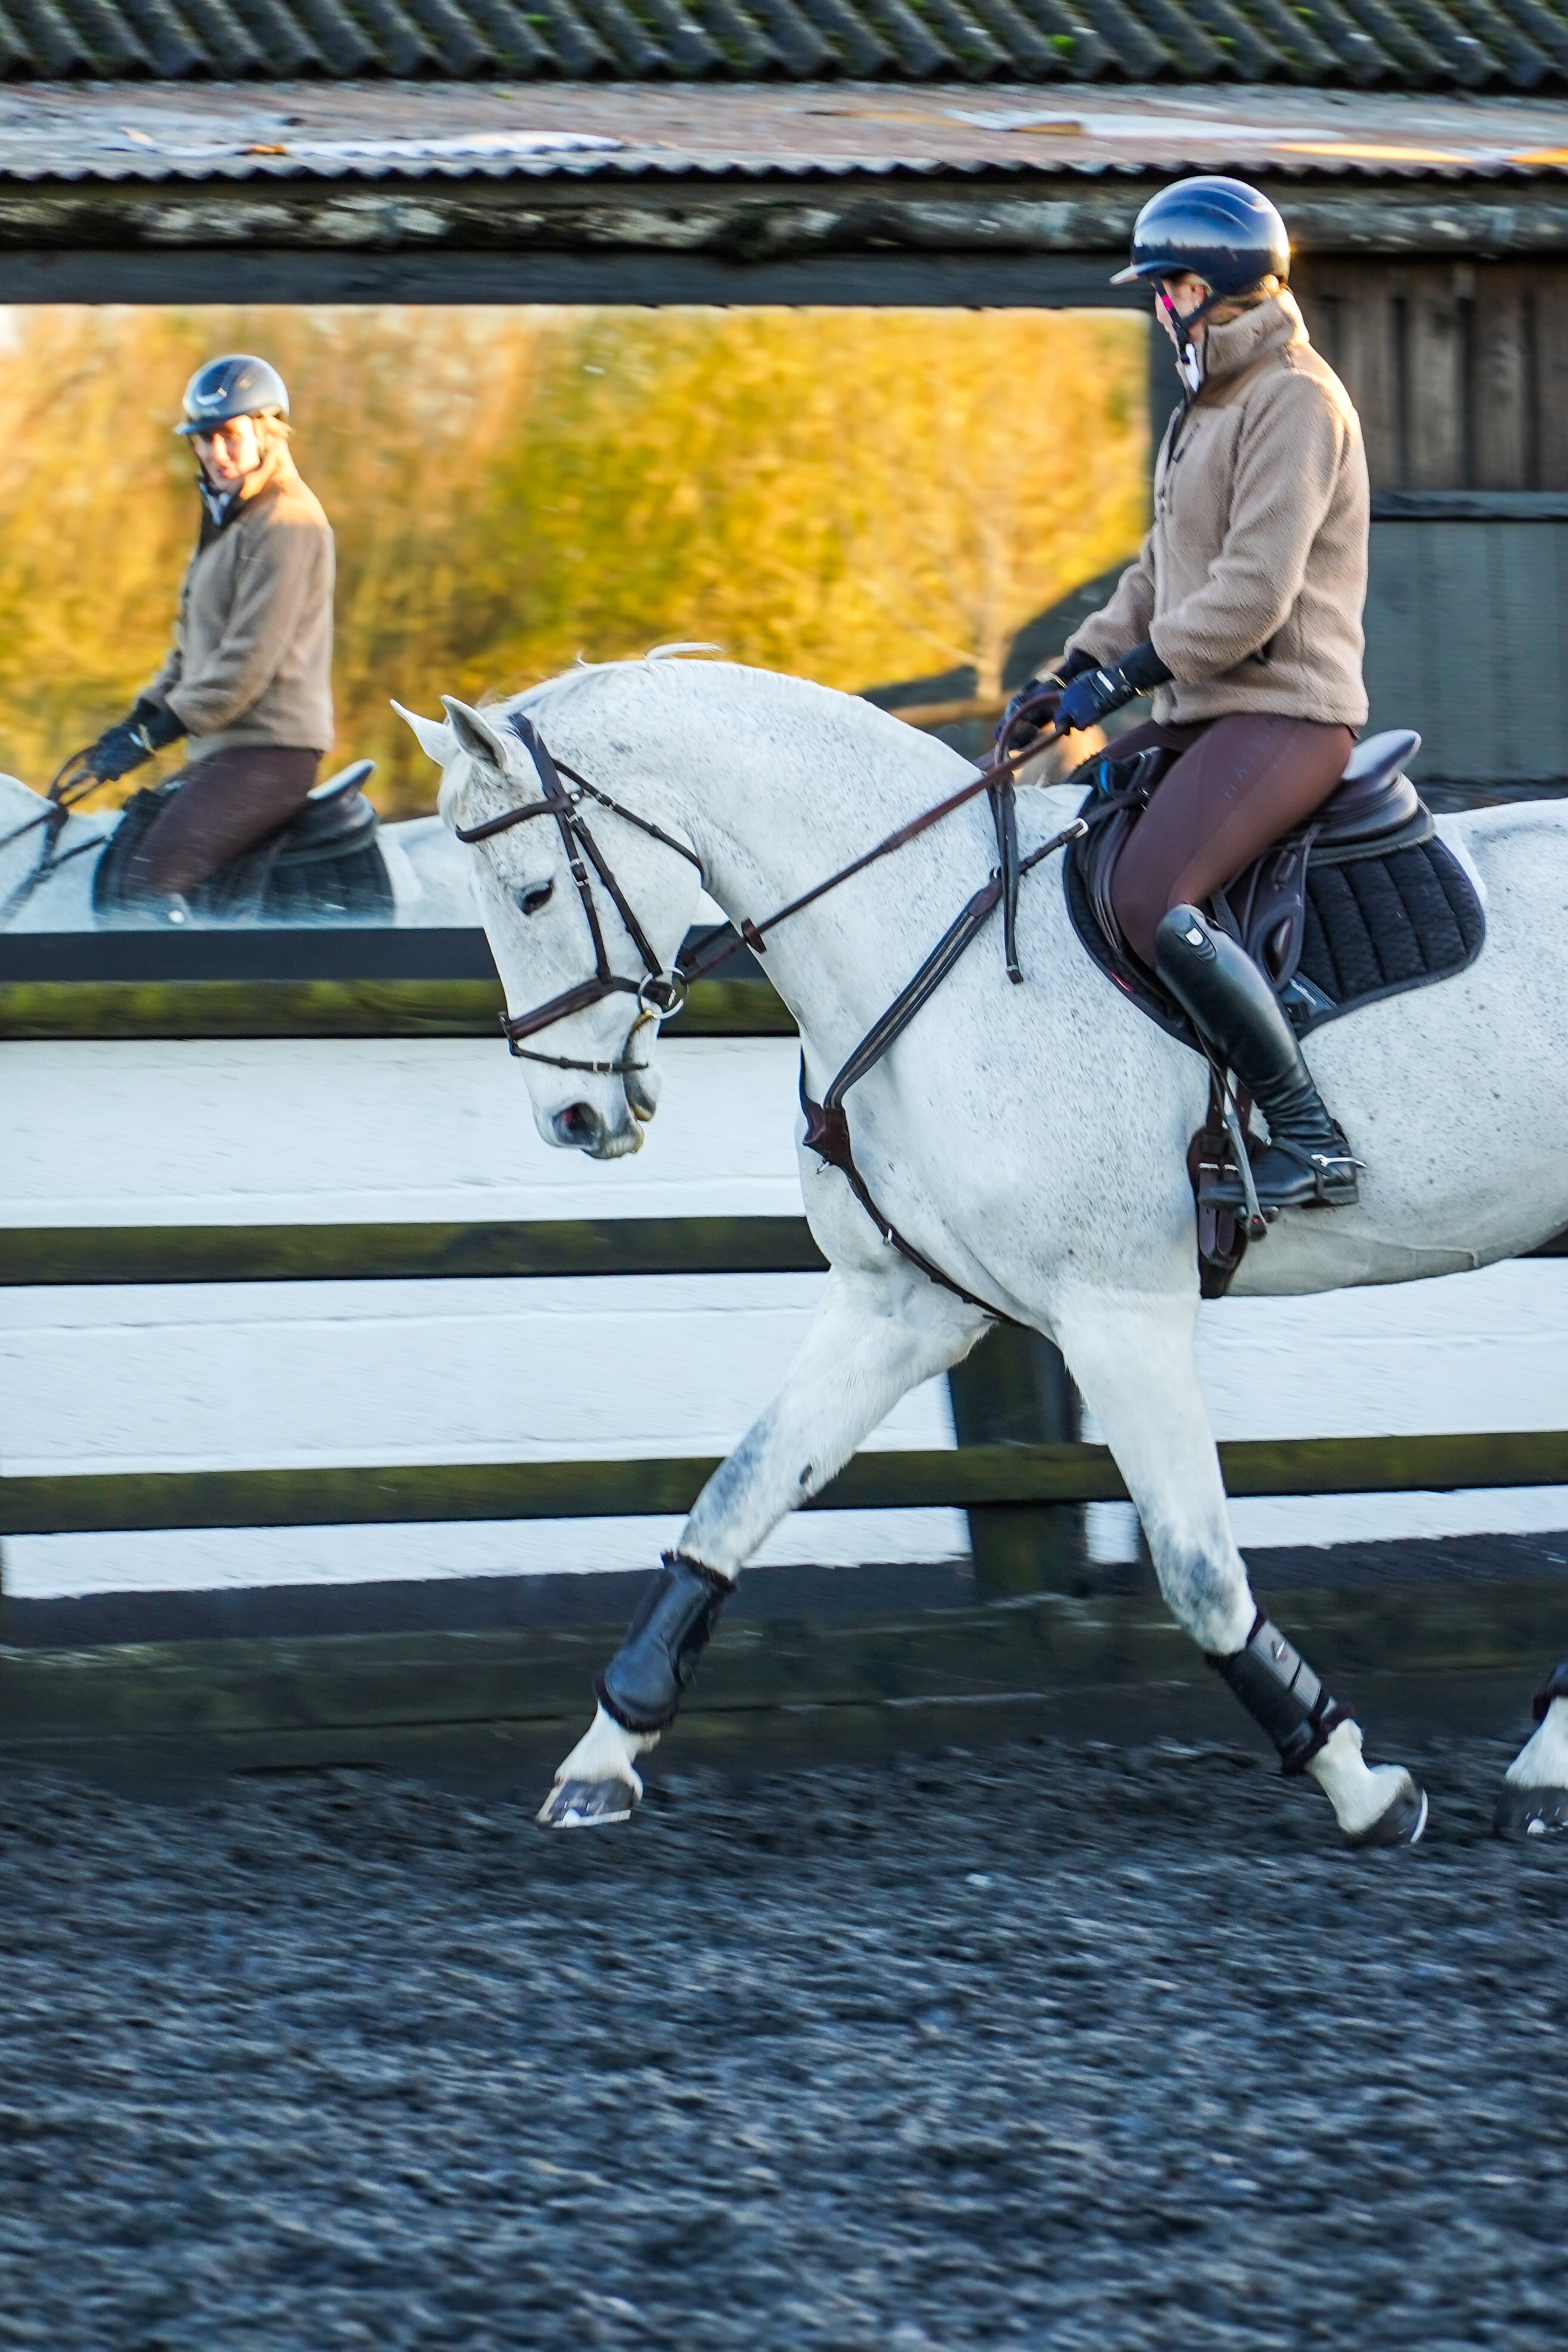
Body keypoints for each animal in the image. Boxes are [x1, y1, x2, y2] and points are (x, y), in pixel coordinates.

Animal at [395, 653, 1568, 1846]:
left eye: (534, 893)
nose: (572, 1120)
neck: (914, 935)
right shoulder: (901, 1304)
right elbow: (731, 1504)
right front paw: (601, 1761)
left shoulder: (1118, 1316)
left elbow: (1197, 1574)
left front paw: (1361, 1785)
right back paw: (1544, 1769)